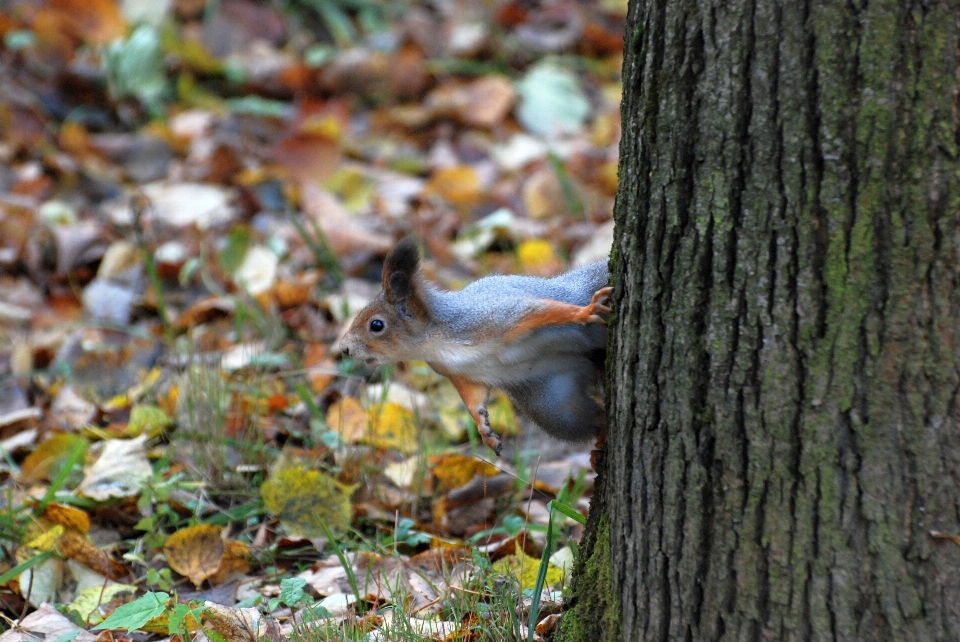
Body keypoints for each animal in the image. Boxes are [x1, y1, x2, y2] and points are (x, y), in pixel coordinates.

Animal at [340, 239, 608, 456]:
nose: (344, 348)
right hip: (553, 406)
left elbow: (540, 310)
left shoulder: (494, 318)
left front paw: (584, 312)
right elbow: (473, 398)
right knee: (589, 419)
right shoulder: (461, 373)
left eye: (376, 325)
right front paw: (483, 430)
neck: (437, 342)